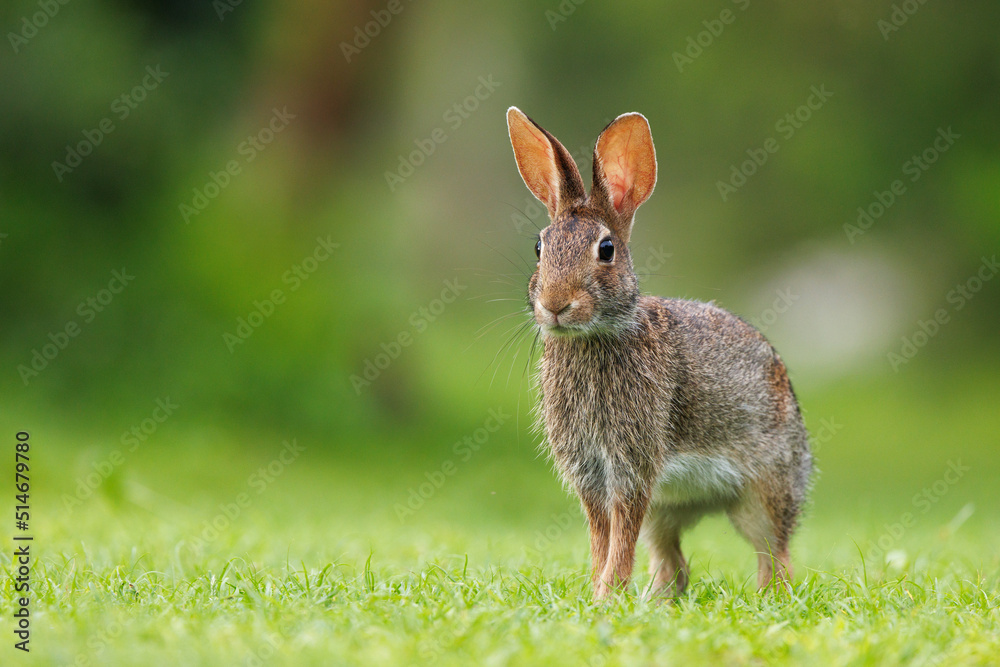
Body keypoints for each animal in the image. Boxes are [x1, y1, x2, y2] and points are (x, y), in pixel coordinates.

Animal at [506, 107, 812, 599]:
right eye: (539, 247)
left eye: (606, 249)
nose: (555, 304)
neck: (597, 337)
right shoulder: (591, 472)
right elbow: (602, 535)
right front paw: (598, 591)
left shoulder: (632, 466)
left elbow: (618, 537)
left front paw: (605, 595)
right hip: (665, 511)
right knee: (673, 563)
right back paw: (655, 602)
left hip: (764, 492)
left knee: (774, 555)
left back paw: (769, 599)